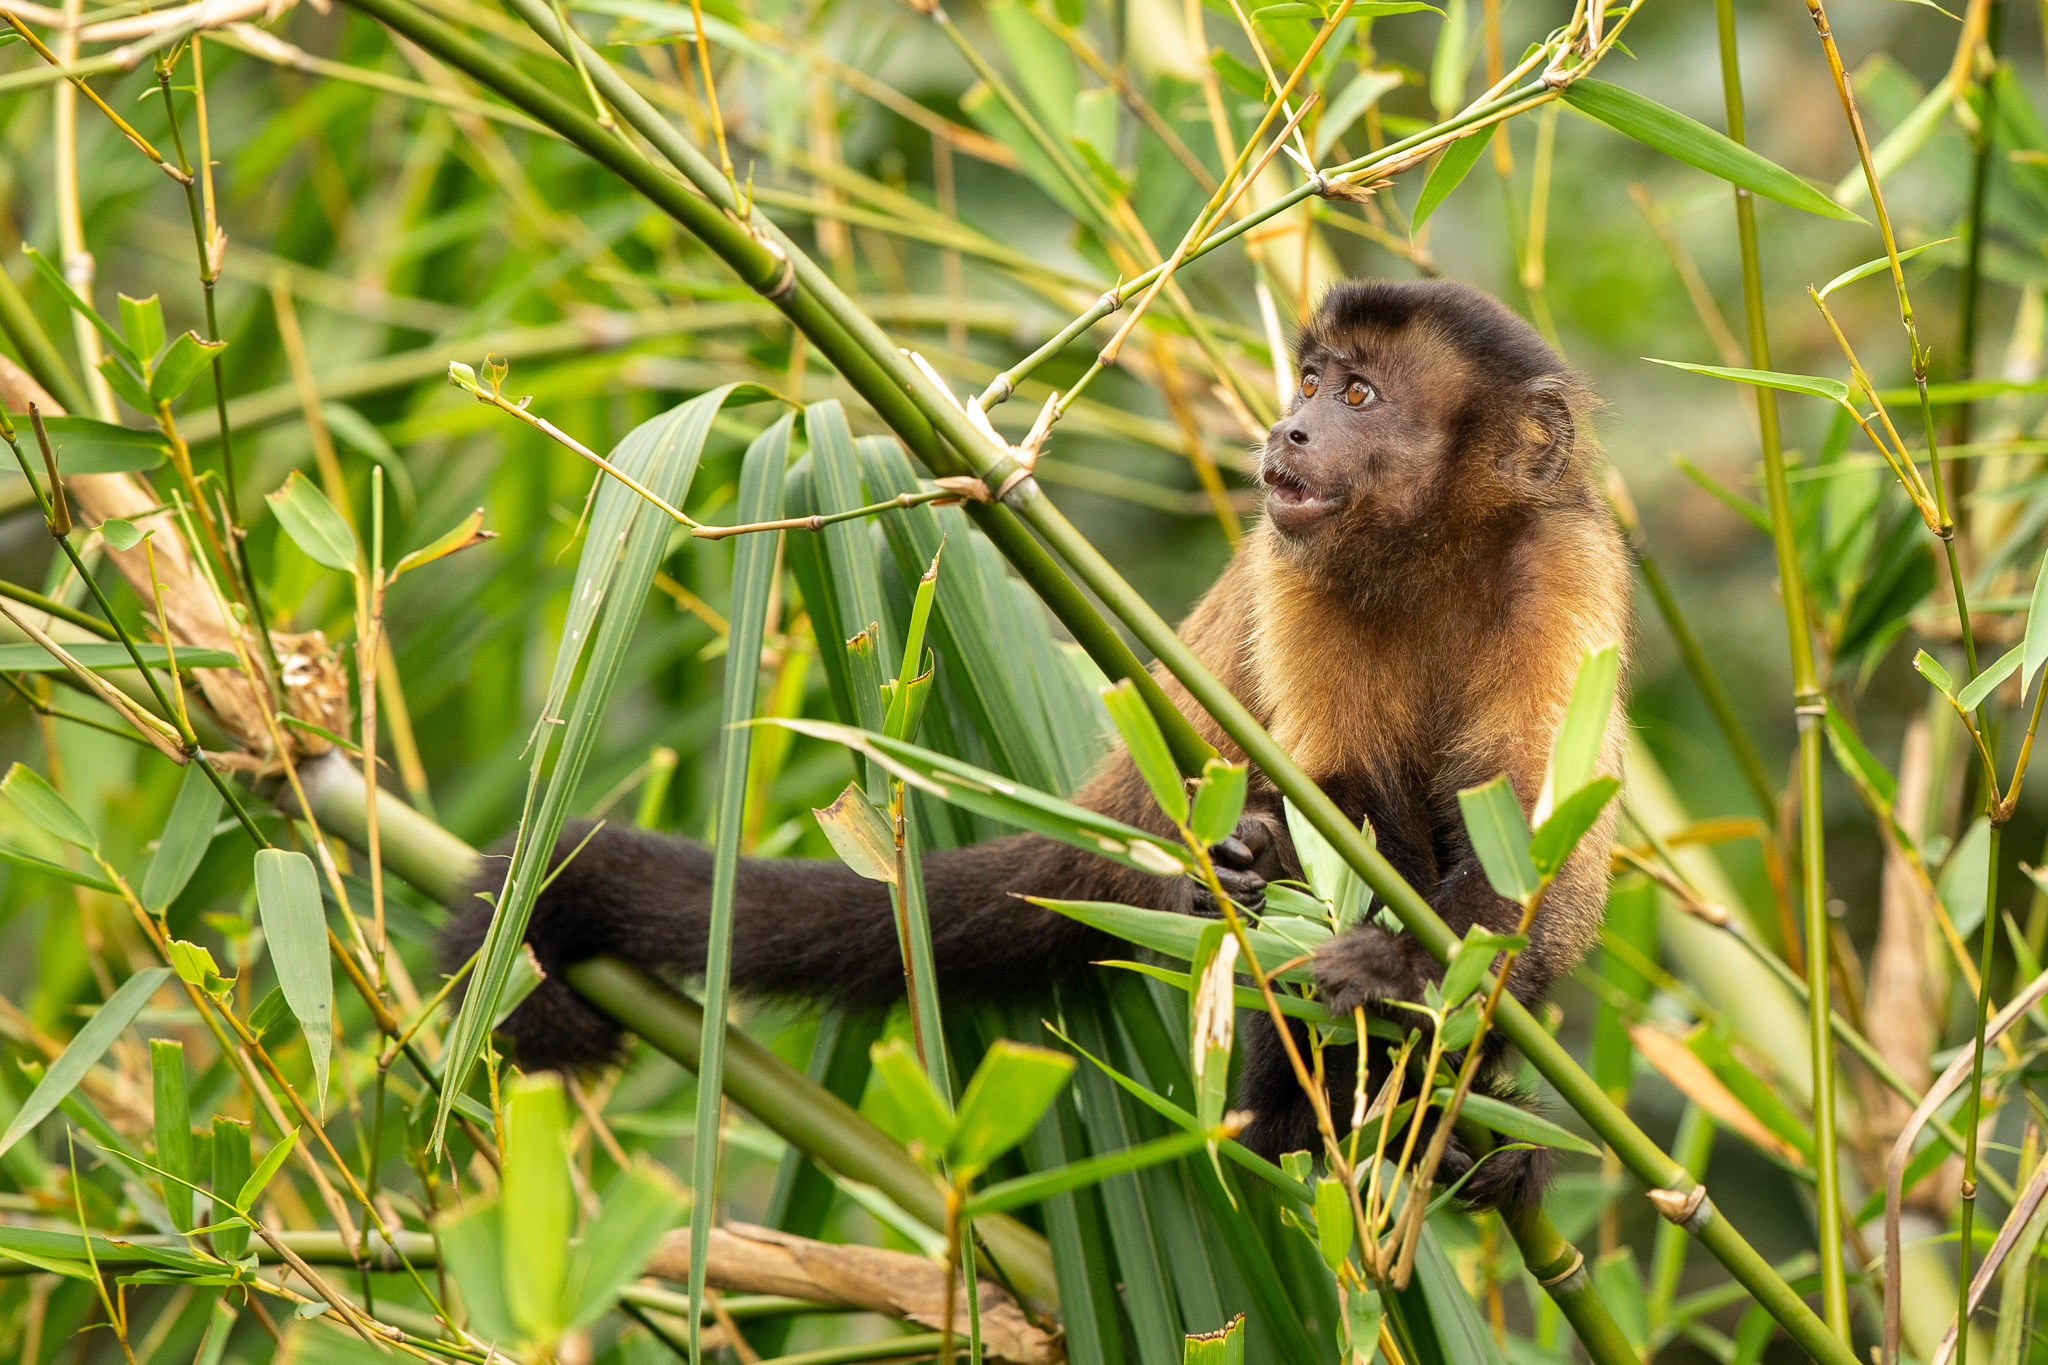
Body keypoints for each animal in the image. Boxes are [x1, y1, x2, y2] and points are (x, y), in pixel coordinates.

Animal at [448, 274, 1630, 1203]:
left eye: (1356, 397)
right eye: (1307, 383)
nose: (1289, 431)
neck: (1430, 552)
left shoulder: (1567, 570)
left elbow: (1541, 850)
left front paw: (1400, 972)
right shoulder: (1297, 573)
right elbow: (1339, 802)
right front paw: (1291, 881)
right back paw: (1296, 1101)